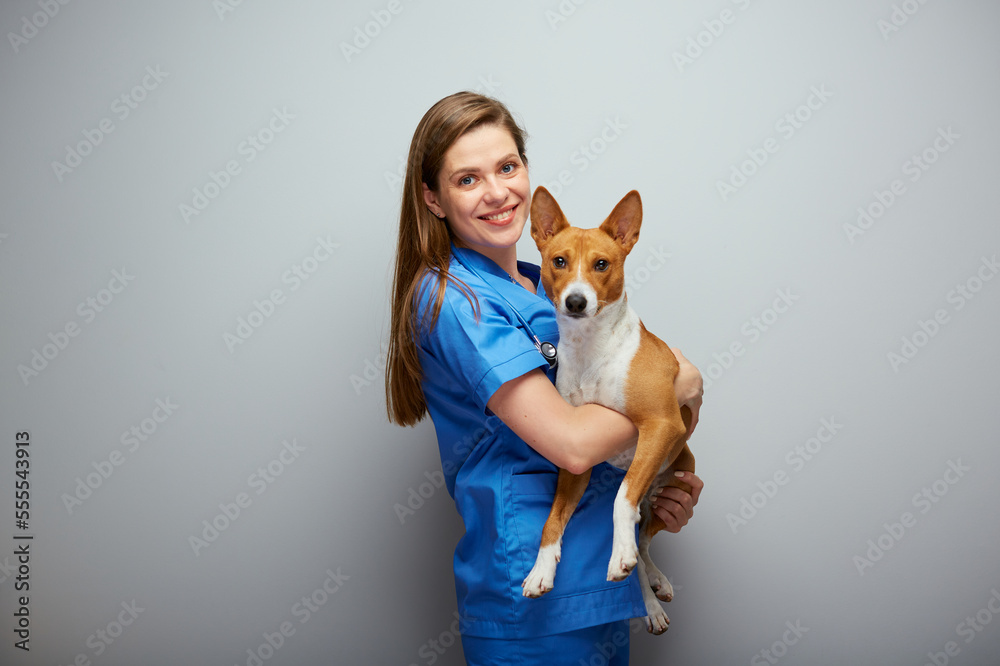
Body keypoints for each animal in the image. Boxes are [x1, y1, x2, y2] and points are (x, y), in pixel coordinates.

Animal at [524, 185, 696, 632]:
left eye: (601, 264)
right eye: (559, 261)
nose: (576, 301)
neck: (590, 349)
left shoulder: (661, 424)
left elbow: (621, 499)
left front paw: (619, 557)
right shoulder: (575, 461)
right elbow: (551, 521)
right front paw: (541, 570)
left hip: (677, 484)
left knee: (642, 538)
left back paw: (650, 579)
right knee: (640, 539)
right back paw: (649, 599)